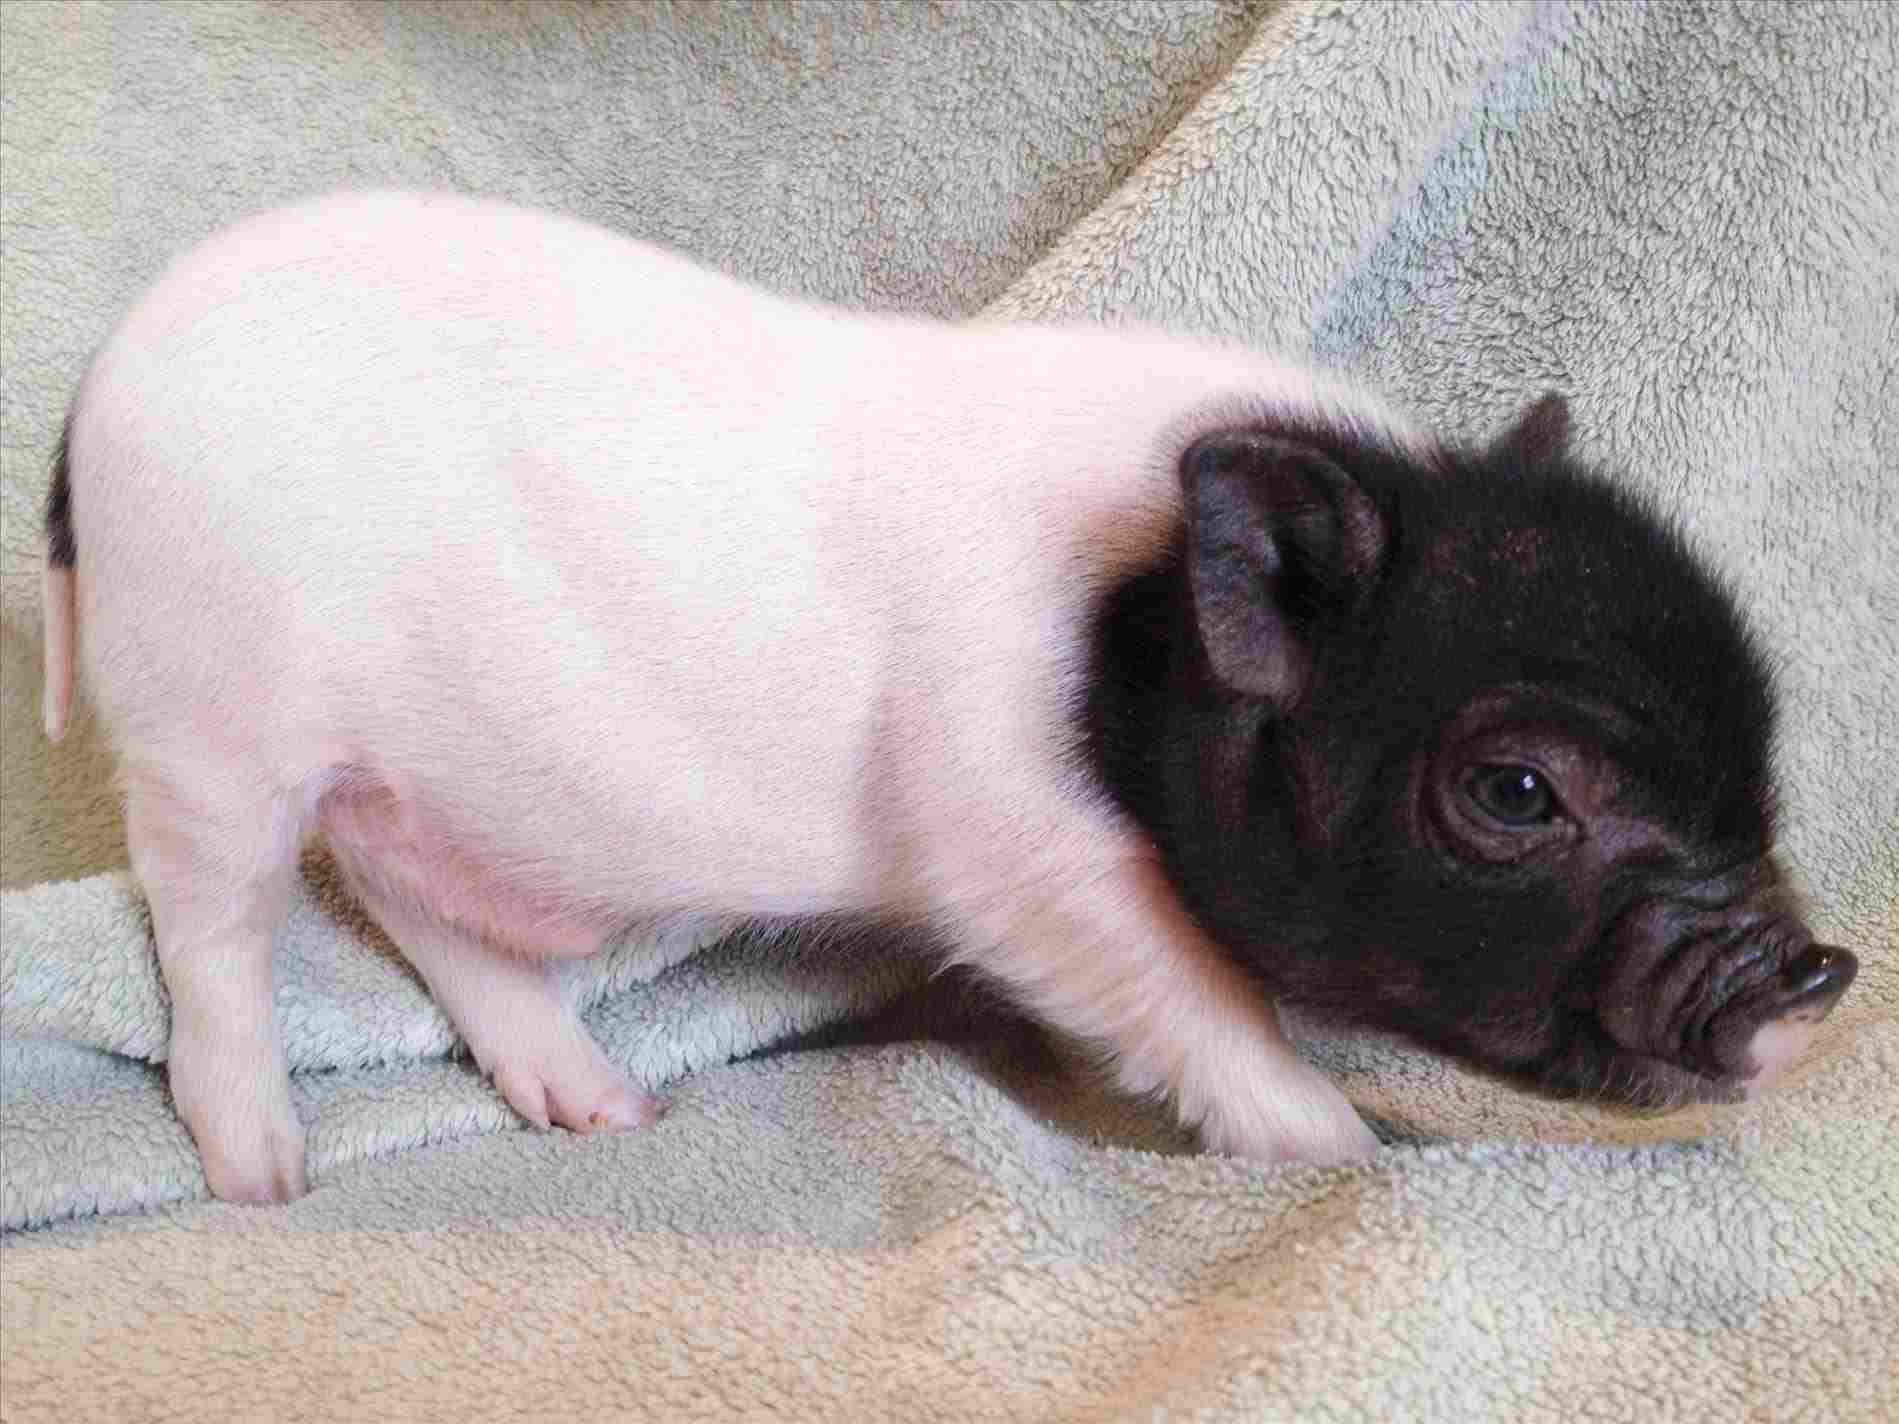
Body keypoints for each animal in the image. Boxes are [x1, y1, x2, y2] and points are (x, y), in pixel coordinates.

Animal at [41, 189, 1856, 1204]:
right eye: (1514, 792)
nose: (1815, 968)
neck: (1127, 619)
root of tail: (97, 388)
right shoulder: (1009, 834)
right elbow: (1187, 989)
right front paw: (1339, 1150)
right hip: (203, 720)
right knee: (213, 928)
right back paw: (263, 1178)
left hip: (419, 782)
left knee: (420, 901)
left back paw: (608, 1110)